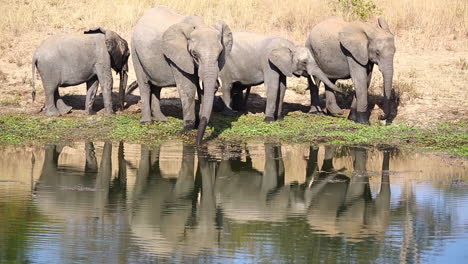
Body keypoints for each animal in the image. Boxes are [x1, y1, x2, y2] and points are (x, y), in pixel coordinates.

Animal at [131, 5, 233, 144]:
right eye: (194, 54)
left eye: (220, 53)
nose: (198, 144)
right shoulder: (178, 56)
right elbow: (188, 87)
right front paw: (188, 127)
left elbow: (203, 89)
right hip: (134, 50)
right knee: (144, 85)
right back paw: (146, 122)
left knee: (157, 86)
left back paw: (163, 120)